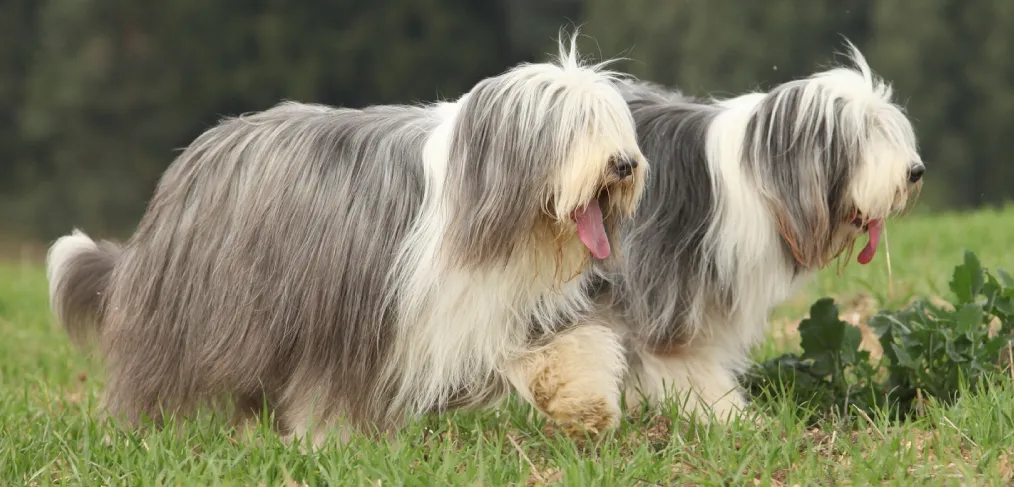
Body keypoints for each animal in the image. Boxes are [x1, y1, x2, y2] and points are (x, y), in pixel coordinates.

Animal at [45, 36, 648, 442]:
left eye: (612, 122)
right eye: (573, 125)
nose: (623, 164)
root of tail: (196, 153)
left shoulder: (498, 304)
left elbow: (563, 348)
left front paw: (585, 405)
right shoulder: (358, 315)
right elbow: (337, 387)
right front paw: (329, 442)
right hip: (198, 309)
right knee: (156, 371)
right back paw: (140, 429)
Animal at [588, 42, 928, 422]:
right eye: (864, 134)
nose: (916, 171)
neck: (763, 183)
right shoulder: (666, 291)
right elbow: (682, 358)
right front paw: (726, 413)